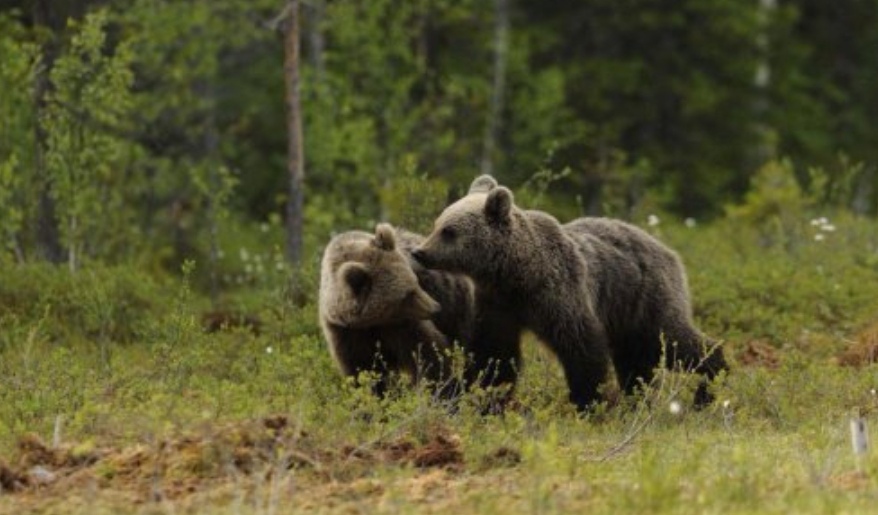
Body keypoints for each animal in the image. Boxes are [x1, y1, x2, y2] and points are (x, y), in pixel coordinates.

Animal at [319, 223, 522, 405]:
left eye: (416, 281)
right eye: (406, 295)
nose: (436, 308)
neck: (374, 322)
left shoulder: (404, 325)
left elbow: (429, 356)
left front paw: (444, 397)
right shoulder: (347, 332)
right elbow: (364, 371)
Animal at [412, 175, 728, 411]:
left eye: (449, 231)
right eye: (437, 223)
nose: (420, 252)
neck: (515, 274)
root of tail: (668, 250)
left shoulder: (558, 293)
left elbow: (581, 346)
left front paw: (588, 402)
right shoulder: (497, 305)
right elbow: (495, 354)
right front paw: (483, 396)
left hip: (645, 297)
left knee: (669, 340)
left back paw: (711, 381)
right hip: (626, 314)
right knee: (636, 361)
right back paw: (638, 399)